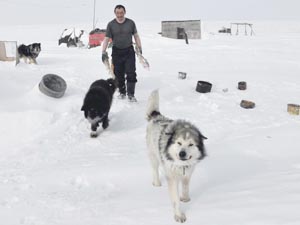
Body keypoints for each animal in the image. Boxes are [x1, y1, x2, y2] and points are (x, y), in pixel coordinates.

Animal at [146, 90, 207, 223]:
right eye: (179, 143)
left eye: (191, 144)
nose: (182, 153)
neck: (181, 165)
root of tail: (157, 116)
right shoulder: (173, 179)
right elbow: (175, 200)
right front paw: (179, 215)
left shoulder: (188, 173)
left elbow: (185, 187)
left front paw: (185, 198)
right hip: (153, 155)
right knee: (154, 169)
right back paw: (157, 183)